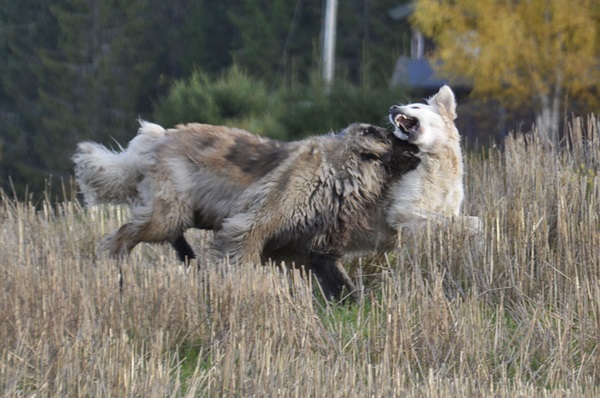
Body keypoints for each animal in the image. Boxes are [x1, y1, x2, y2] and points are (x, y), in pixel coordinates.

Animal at [75, 121, 420, 298]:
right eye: (393, 137)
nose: (416, 144)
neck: (339, 169)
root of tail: (157, 138)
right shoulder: (251, 226)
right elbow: (242, 258)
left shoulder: (317, 247)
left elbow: (339, 281)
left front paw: (353, 304)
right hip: (167, 213)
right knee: (123, 235)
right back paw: (115, 268)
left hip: (182, 211)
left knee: (170, 237)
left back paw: (188, 260)